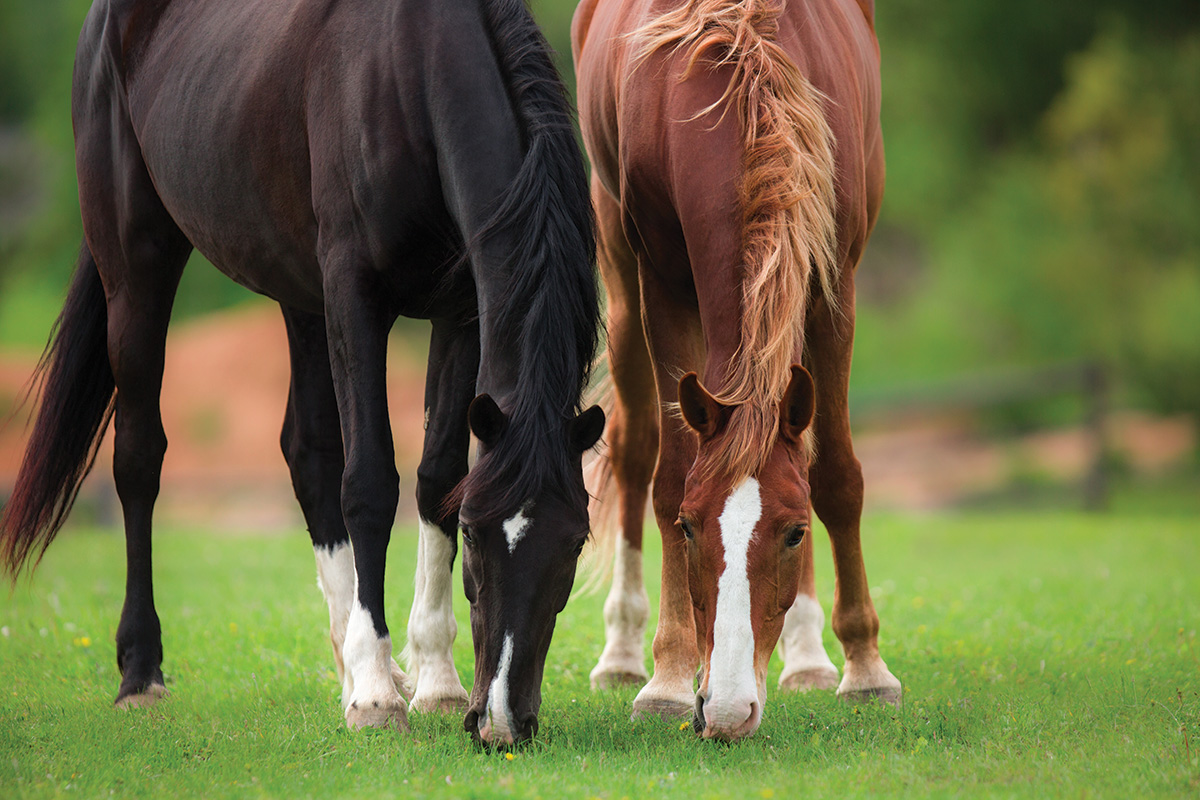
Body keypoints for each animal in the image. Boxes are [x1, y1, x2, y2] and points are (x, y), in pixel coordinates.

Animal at [0, 0, 600, 748]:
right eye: (476, 535)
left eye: (575, 542)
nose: (501, 723)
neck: (410, 70)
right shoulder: (354, 293)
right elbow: (370, 481)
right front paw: (376, 698)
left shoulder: (460, 310)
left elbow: (435, 478)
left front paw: (432, 680)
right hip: (137, 266)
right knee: (139, 458)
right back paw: (143, 676)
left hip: (299, 293)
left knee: (307, 455)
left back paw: (359, 660)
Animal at [573, 0, 902, 743]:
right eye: (691, 527)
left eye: (794, 532)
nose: (724, 711)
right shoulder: (662, 282)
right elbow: (668, 473)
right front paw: (669, 678)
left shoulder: (835, 280)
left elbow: (835, 475)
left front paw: (866, 667)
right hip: (616, 266)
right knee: (634, 450)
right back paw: (622, 652)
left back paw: (808, 656)